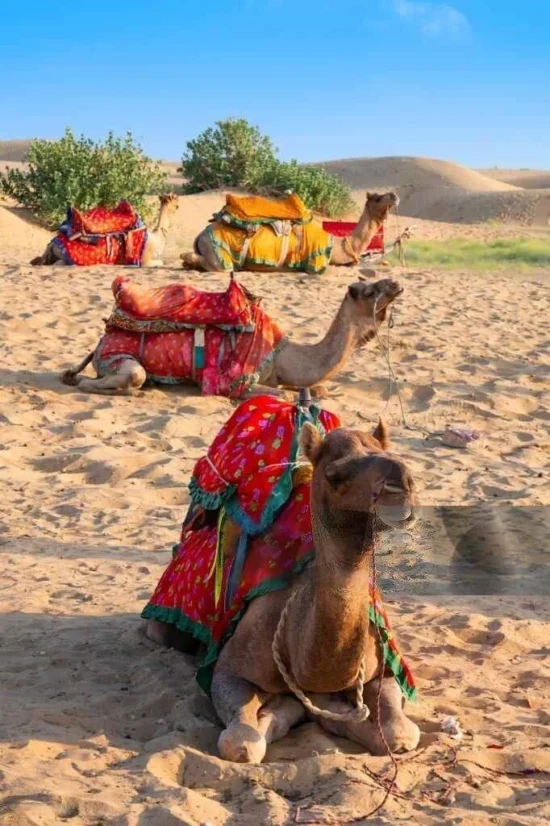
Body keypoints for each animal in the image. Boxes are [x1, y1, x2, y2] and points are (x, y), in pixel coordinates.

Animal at [29, 192, 179, 264]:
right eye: (176, 203)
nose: (178, 206)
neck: (156, 240)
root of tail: (52, 243)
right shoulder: (144, 261)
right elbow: (161, 262)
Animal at [61, 278, 406, 398]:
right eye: (369, 291)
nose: (396, 283)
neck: (284, 354)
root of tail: (101, 341)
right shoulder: (239, 382)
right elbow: (286, 396)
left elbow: (314, 389)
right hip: (119, 358)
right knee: (116, 378)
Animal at [183, 191, 398, 274]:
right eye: (377, 198)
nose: (394, 195)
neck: (338, 245)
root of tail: (201, 235)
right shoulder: (316, 263)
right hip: (219, 255)